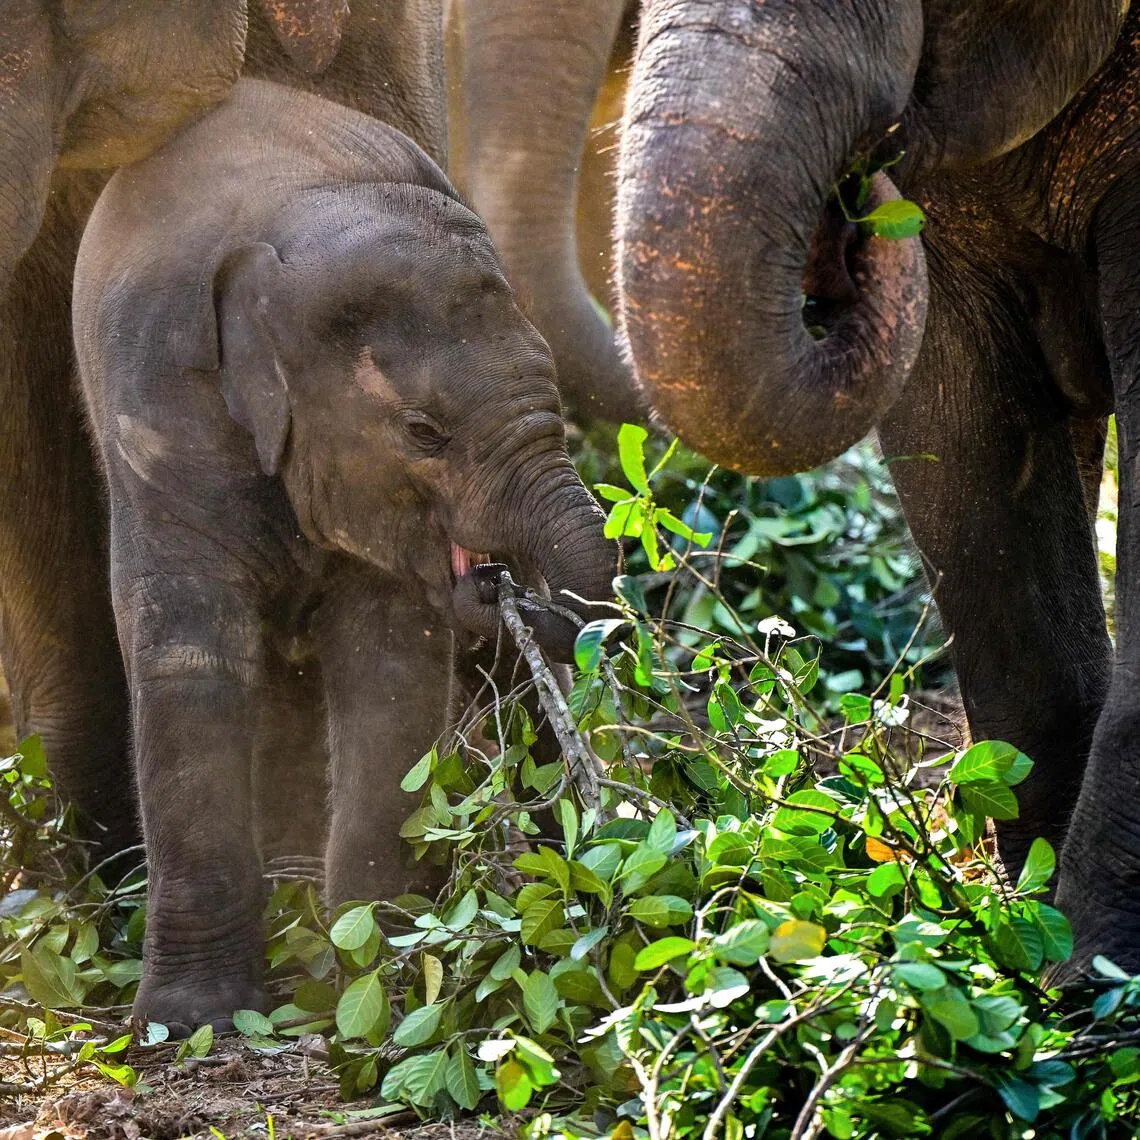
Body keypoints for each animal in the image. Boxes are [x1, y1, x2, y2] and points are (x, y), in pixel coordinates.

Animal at [72, 78, 616, 1031]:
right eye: (424, 432)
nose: (515, 592)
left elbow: (390, 667)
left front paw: (379, 981)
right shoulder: (162, 411)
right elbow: (188, 660)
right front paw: (191, 1022)